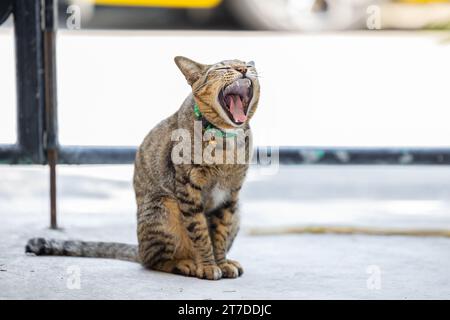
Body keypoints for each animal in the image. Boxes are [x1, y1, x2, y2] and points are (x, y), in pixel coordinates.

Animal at [25, 57, 260, 280]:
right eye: (223, 67)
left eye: (247, 64)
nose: (243, 69)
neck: (225, 140)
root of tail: (139, 248)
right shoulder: (188, 189)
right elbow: (200, 232)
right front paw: (208, 265)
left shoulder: (229, 196)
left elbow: (219, 234)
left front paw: (221, 263)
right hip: (164, 208)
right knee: (154, 261)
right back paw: (186, 264)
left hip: (236, 210)